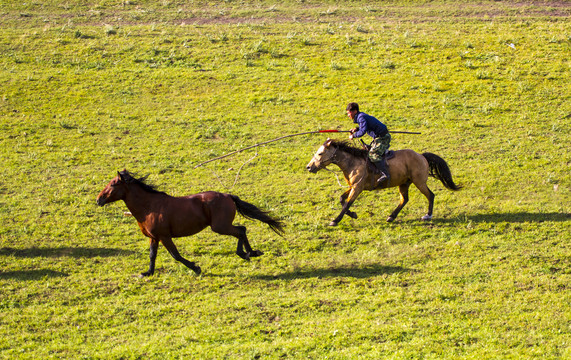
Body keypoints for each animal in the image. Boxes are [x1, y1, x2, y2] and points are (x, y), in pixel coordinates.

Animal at [99, 170, 286, 278]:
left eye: (114, 183)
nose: (98, 199)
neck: (149, 207)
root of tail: (228, 195)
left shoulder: (165, 237)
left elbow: (176, 255)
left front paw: (196, 268)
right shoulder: (155, 237)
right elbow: (152, 255)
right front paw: (148, 273)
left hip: (220, 227)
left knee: (241, 230)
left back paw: (245, 254)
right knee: (242, 229)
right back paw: (252, 253)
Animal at [306, 139, 462, 226]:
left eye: (320, 153)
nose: (309, 167)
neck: (353, 162)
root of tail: (422, 156)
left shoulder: (357, 188)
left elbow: (347, 203)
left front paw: (335, 220)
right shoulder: (353, 186)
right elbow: (341, 199)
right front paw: (353, 214)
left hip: (419, 182)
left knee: (430, 195)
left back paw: (428, 215)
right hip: (404, 183)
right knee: (404, 199)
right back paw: (391, 216)